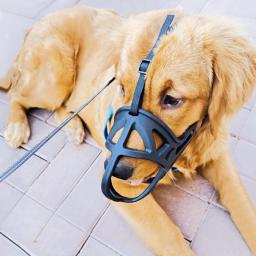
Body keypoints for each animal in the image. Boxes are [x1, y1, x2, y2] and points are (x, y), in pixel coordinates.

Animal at [0, 5, 256, 255]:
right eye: (121, 87)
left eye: (172, 100)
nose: (116, 169)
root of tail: (43, 20)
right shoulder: (123, 188)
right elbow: (169, 237)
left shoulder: (216, 151)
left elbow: (242, 203)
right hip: (54, 78)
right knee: (17, 94)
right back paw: (16, 128)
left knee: (64, 105)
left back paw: (73, 127)